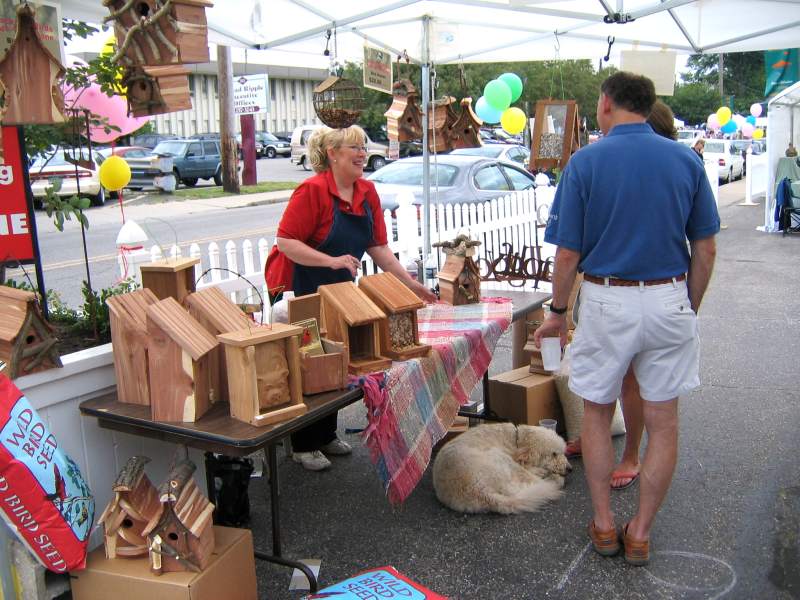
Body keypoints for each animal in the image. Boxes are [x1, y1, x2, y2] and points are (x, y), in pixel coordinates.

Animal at [434, 422, 572, 516]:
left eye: (563, 452)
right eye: (554, 454)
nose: (570, 469)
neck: (516, 440)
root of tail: (482, 492)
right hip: (501, 457)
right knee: (539, 481)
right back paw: (550, 476)